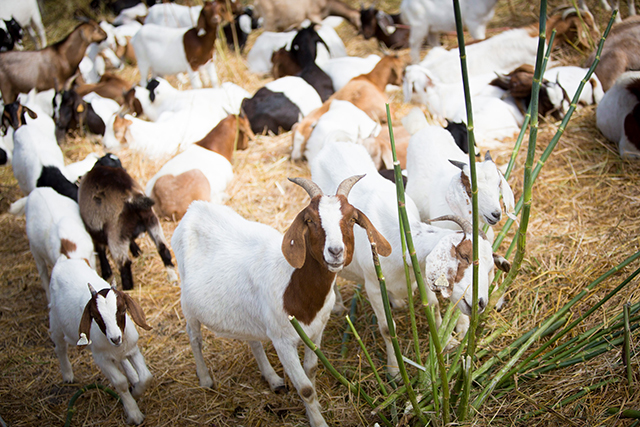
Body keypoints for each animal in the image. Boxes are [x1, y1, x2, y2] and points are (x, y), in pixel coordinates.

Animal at [49, 257, 153, 425]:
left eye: (123, 310)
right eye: (96, 318)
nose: (115, 338)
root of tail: (64, 260)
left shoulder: (132, 349)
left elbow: (146, 377)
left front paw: (136, 391)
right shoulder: (102, 359)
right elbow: (120, 383)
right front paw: (134, 414)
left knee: (122, 360)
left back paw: (133, 376)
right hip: (55, 320)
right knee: (59, 347)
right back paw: (67, 375)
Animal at [172, 175, 390, 427]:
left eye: (352, 218)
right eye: (310, 220)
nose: (335, 251)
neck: (296, 287)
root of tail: (194, 207)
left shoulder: (316, 332)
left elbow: (311, 370)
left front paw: (313, 411)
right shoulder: (282, 341)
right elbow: (305, 389)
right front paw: (318, 421)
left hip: (245, 310)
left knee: (252, 339)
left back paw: (273, 378)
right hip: (188, 304)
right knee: (194, 336)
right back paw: (205, 379)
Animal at [311, 141, 510, 376]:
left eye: (489, 268)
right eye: (464, 256)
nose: (480, 303)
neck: (396, 236)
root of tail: (333, 144)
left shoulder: (420, 273)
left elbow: (433, 306)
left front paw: (449, 343)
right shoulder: (373, 286)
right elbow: (387, 329)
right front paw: (395, 371)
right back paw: (339, 306)